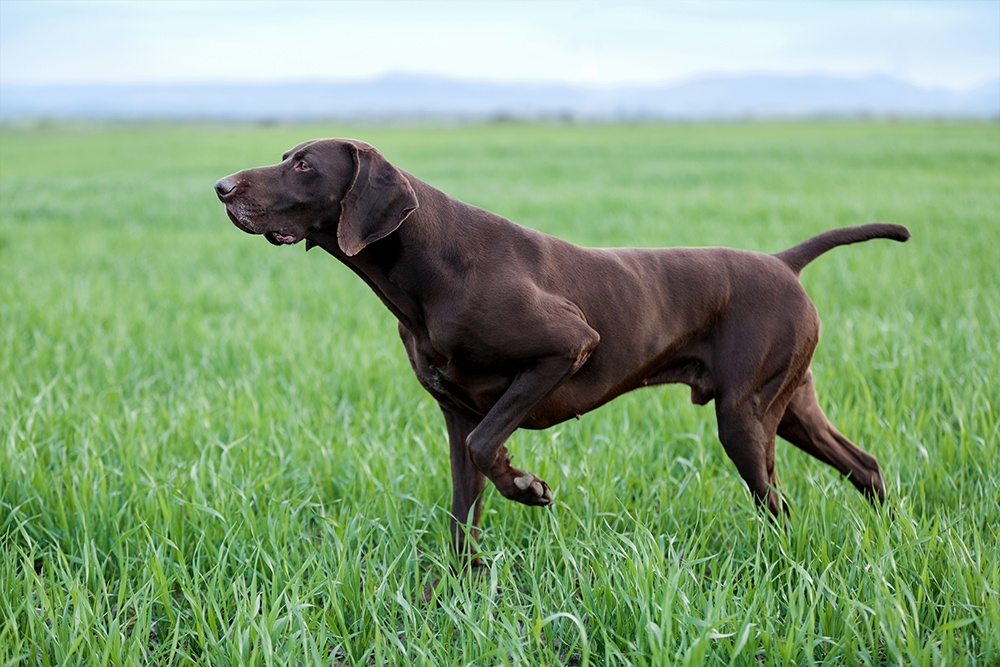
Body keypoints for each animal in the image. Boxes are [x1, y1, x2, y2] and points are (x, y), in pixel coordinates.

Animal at [215, 140, 912, 560]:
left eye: (304, 165)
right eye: (288, 158)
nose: (222, 186)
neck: (430, 263)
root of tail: (782, 262)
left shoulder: (564, 349)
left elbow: (488, 445)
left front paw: (526, 486)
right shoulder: (454, 412)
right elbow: (462, 506)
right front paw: (457, 595)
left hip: (745, 417)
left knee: (779, 503)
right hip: (789, 407)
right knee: (865, 465)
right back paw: (890, 537)